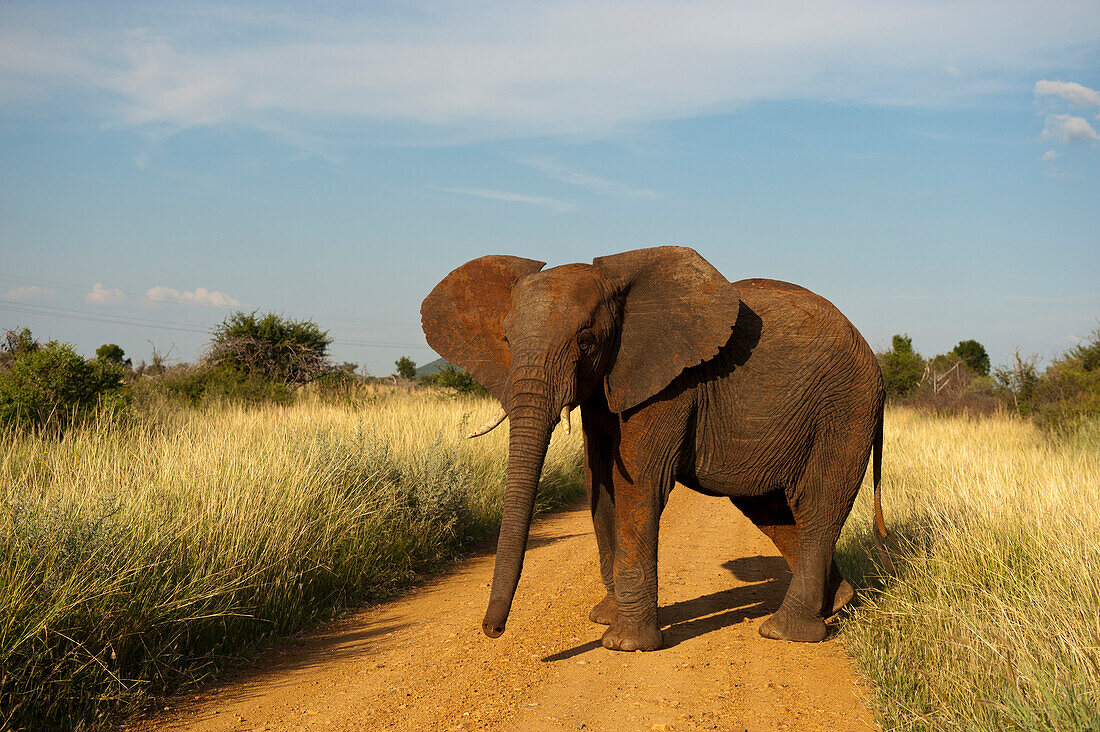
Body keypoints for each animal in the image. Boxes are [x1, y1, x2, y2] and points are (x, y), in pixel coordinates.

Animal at [415, 246, 888, 651]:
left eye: (586, 341)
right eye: (508, 341)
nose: (492, 630)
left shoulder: (669, 385)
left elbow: (638, 487)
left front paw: (625, 643)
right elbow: (599, 486)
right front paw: (605, 619)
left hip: (846, 406)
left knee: (819, 502)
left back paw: (785, 632)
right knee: (770, 509)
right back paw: (839, 602)